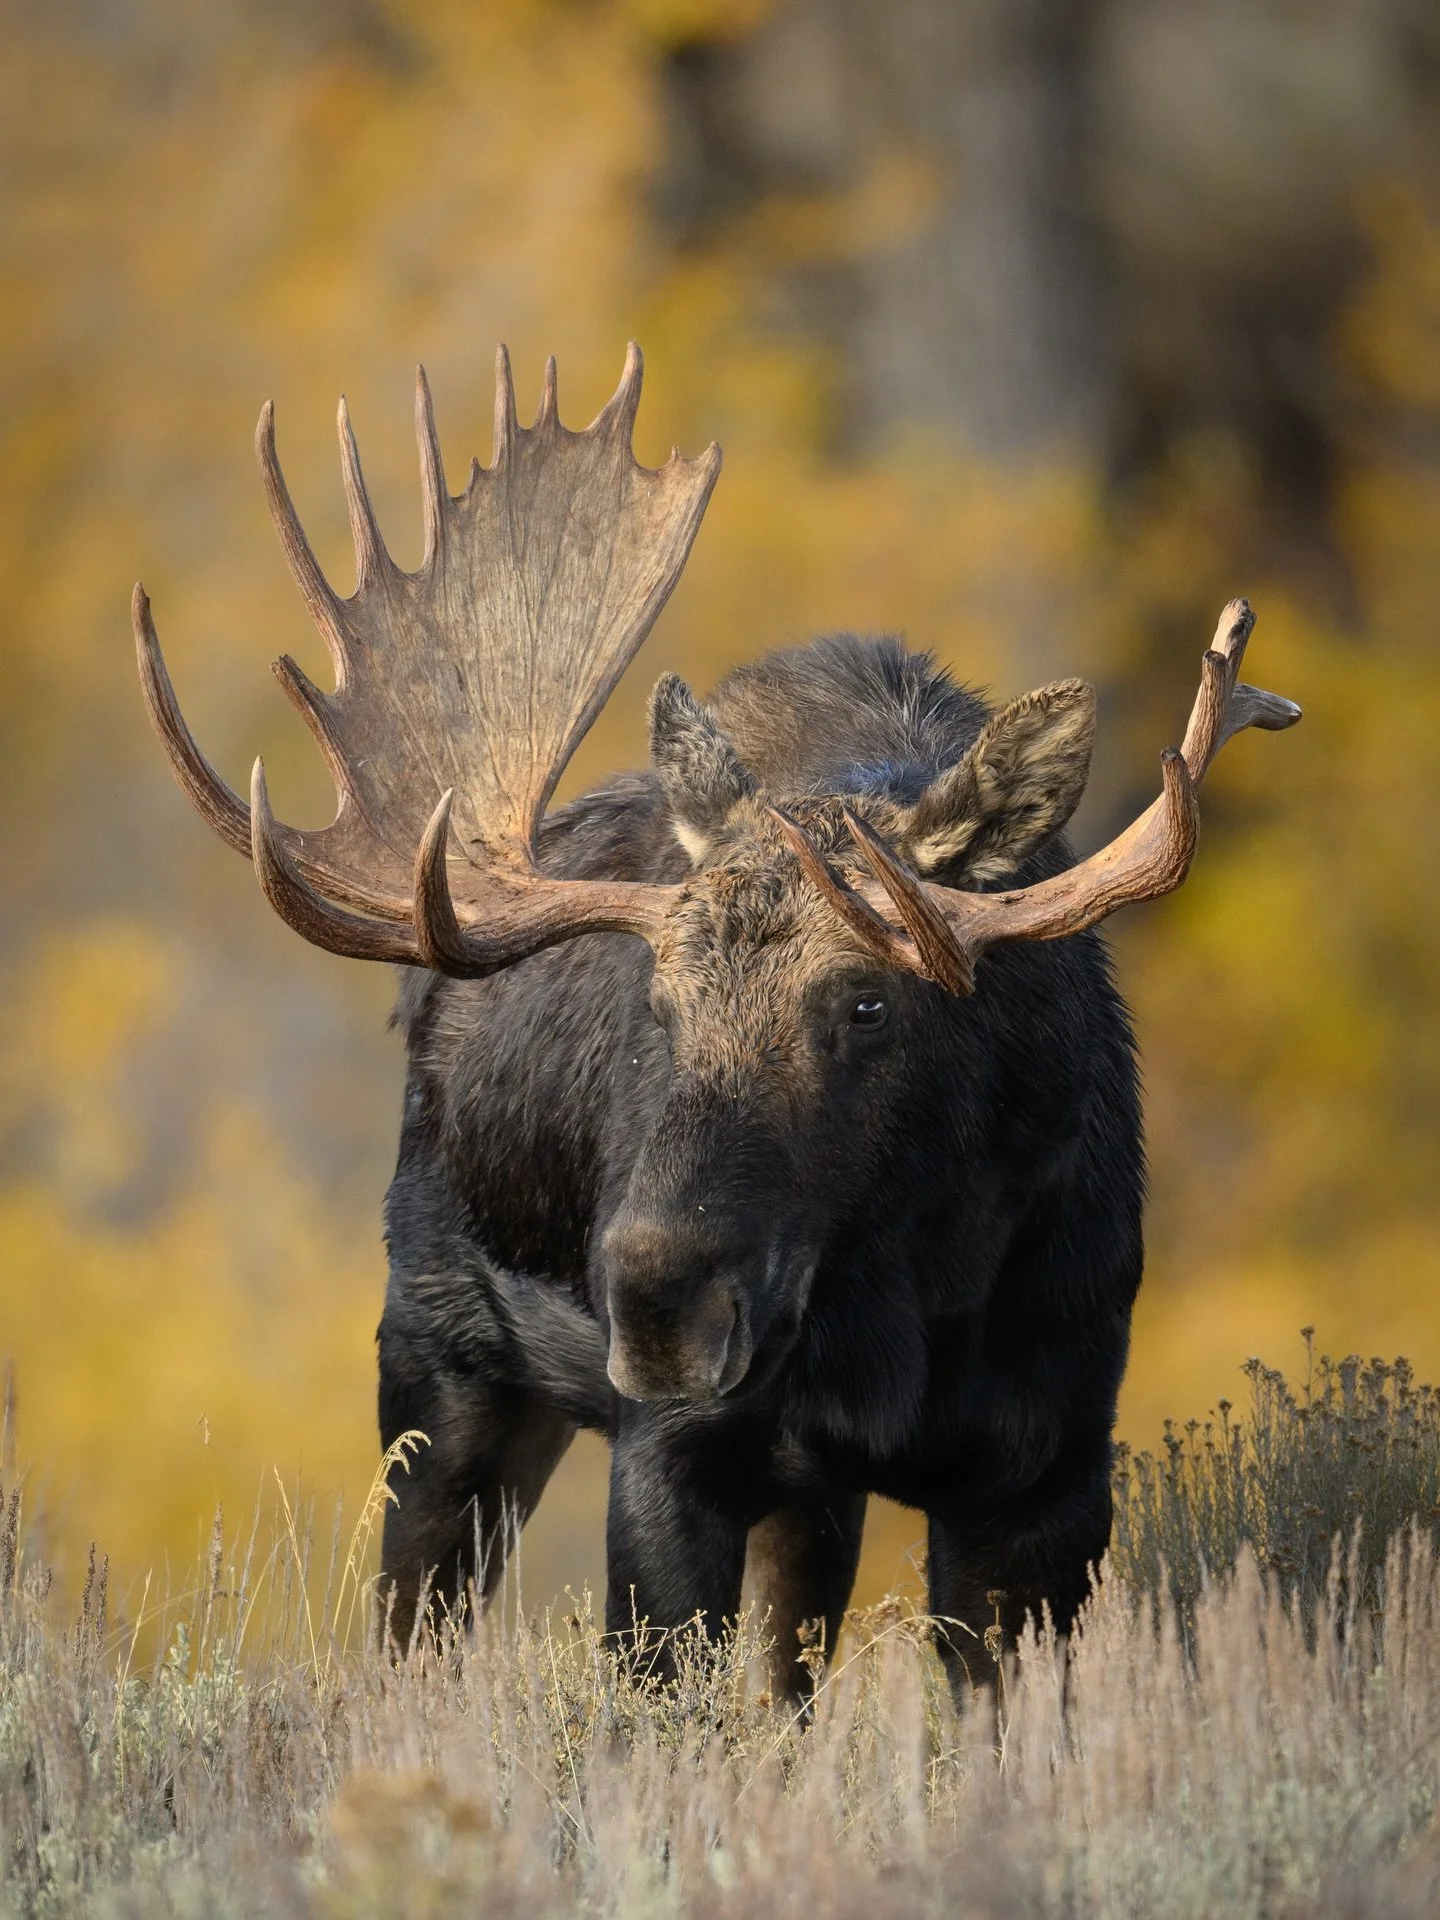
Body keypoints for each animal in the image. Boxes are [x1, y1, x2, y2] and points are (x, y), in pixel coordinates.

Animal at [134, 344, 1298, 1697]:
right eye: (660, 1006)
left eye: (869, 1000)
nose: (657, 1299)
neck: (910, 1309)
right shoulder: (670, 1452)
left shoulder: (1050, 1465)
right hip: (437, 1359)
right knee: (412, 1629)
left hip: (796, 1492)